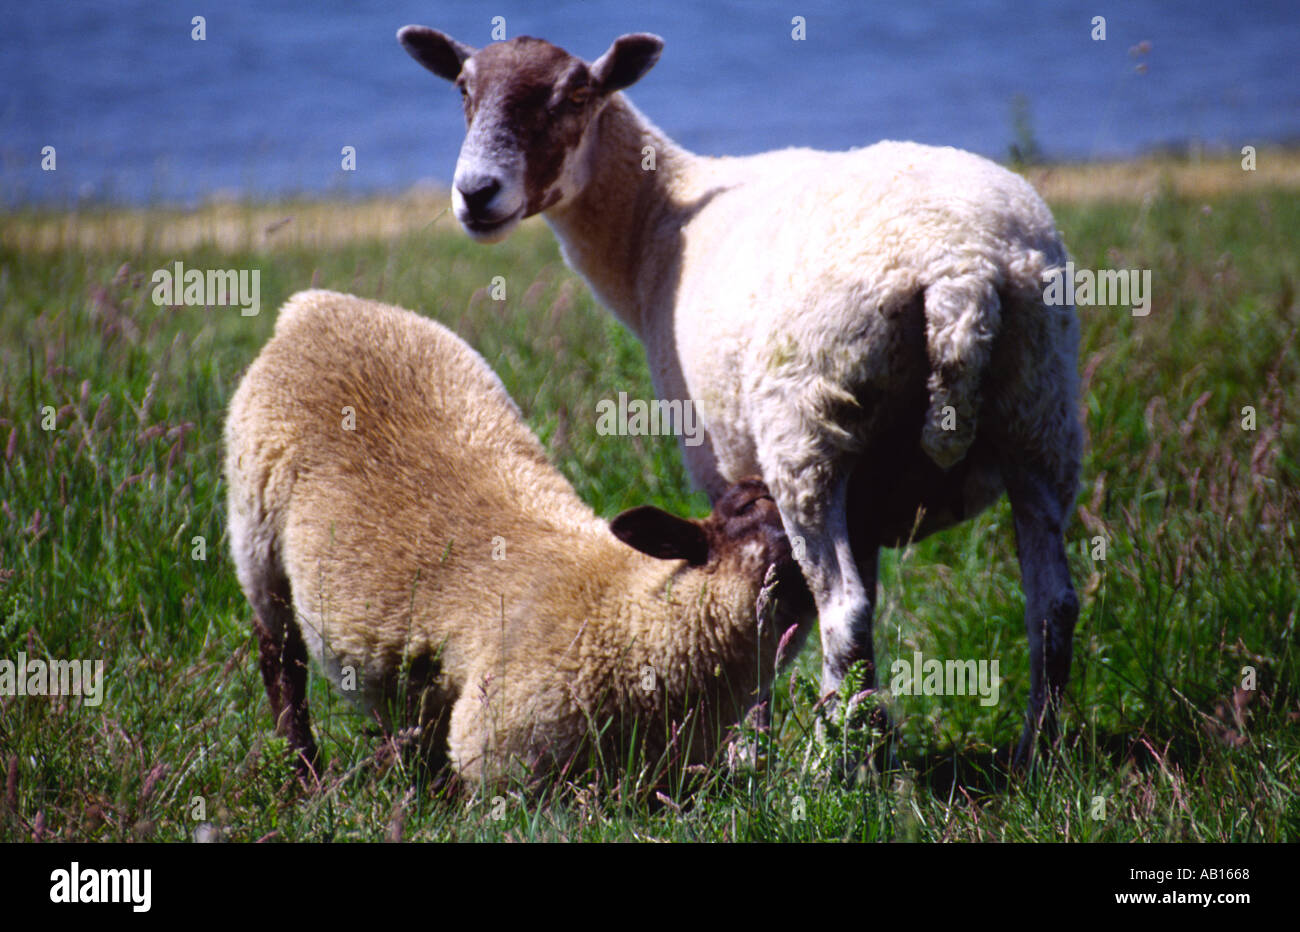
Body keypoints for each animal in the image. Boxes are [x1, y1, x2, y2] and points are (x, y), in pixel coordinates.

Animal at [223, 291, 811, 785]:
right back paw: (304, 772)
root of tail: (314, 306)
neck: (634, 616)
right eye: (755, 516)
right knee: (281, 661)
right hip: (255, 532)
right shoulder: (501, 764)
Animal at [397, 27, 1086, 764]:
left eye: (576, 95)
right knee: (1052, 605)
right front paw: (864, 731)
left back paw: (829, 764)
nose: (476, 193)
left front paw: (749, 749)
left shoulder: (723, 460)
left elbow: (760, 597)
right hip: (1040, 412)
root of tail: (960, 273)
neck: (652, 223)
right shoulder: (866, 497)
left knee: (845, 607)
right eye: (463, 89)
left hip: (809, 430)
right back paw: (1036, 754)